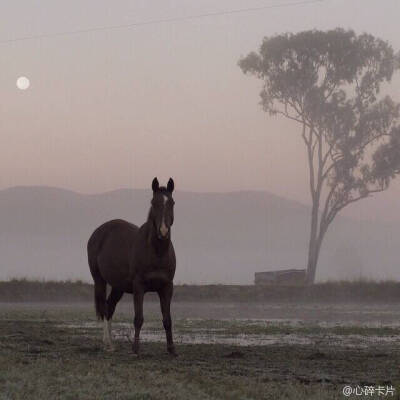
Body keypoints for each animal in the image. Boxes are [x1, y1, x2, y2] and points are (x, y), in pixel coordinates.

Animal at [87, 178, 177, 356]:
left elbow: (167, 319)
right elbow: (138, 318)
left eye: (171, 203)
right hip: (99, 280)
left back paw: (111, 344)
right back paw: (107, 343)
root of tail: (97, 233)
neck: (156, 253)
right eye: (153, 202)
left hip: (118, 286)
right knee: (104, 307)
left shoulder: (167, 287)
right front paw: (135, 349)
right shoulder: (139, 287)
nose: (163, 231)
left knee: (110, 307)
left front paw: (171, 349)